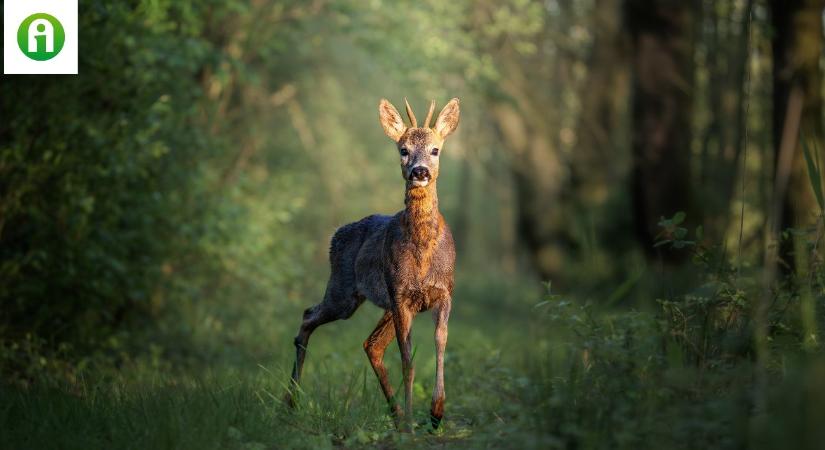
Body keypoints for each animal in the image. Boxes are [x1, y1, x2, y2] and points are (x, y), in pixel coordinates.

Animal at [288, 96, 458, 430]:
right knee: (308, 315)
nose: (419, 171)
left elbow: (440, 343)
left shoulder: (444, 291)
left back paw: (396, 414)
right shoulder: (401, 294)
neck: (423, 252)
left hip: (377, 303)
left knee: (372, 344)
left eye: (435, 150)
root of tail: (335, 235)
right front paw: (413, 424)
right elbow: (407, 360)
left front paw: (436, 413)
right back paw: (290, 402)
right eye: (403, 150)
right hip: (344, 291)